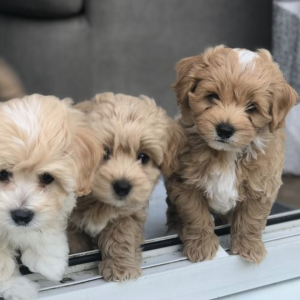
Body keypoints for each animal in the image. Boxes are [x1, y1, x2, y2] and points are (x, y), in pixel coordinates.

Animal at [68, 91, 185, 282]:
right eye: (104, 153)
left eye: (143, 157)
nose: (122, 186)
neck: (99, 201)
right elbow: (75, 246)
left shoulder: (129, 212)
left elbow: (122, 236)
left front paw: (121, 268)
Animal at [165, 45, 298, 264]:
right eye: (212, 96)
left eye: (252, 108)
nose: (225, 129)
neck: (226, 154)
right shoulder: (185, 184)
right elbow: (196, 215)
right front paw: (202, 247)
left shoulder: (262, 186)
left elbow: (251, 219)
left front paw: (249, 248)